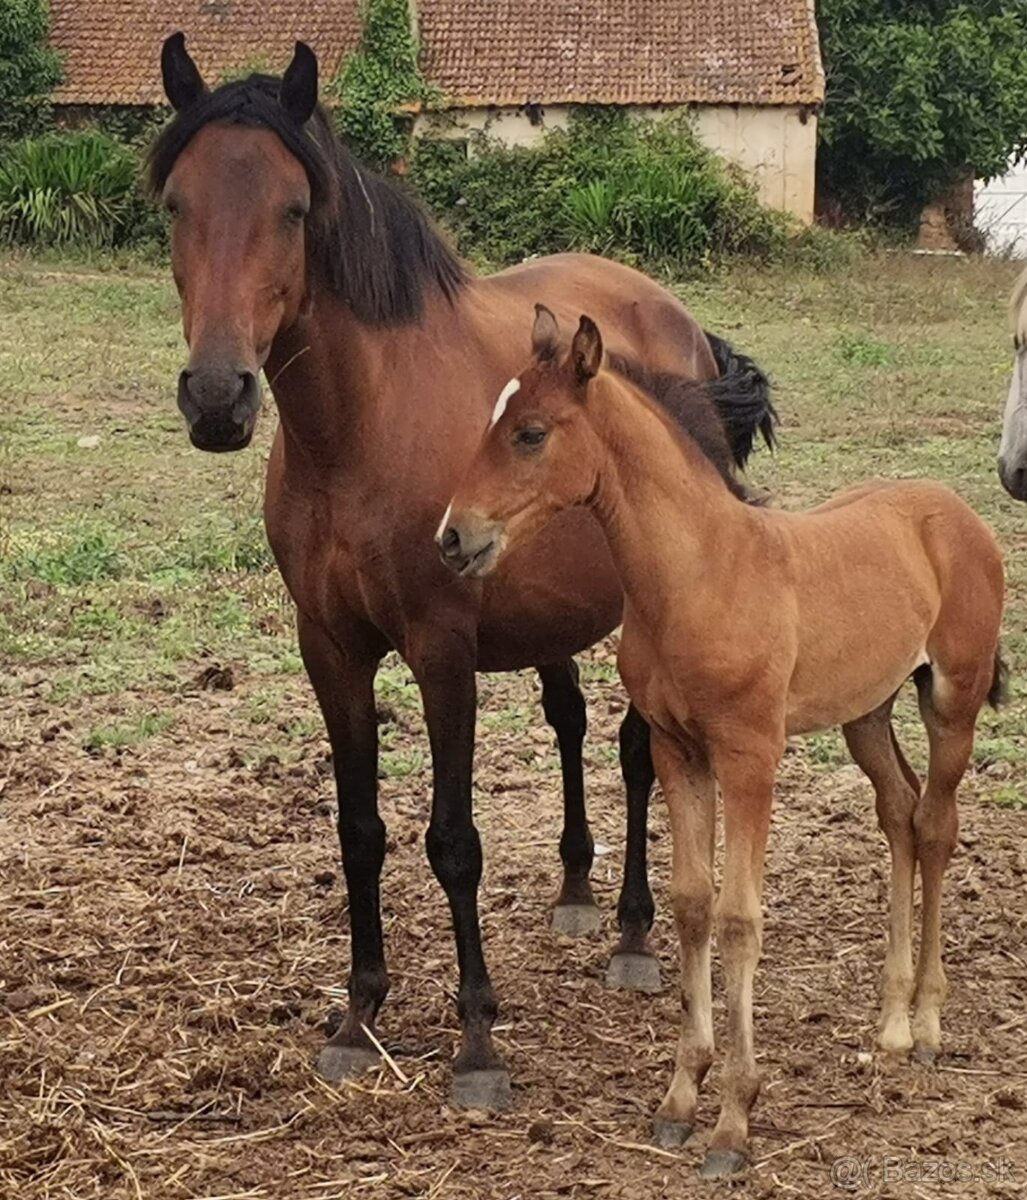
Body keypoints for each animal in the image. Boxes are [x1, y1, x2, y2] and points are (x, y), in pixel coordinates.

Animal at [150, 35, 767, 1104]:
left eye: (294, 210)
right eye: (180, 202)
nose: (218, 395)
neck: (359, 428)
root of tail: (674, 320)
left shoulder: (441, 650)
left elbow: (453, 841)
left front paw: (477, 1038)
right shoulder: (331, 648)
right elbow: (359, 829)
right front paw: (358, 1017)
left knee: (637, 752)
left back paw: (632, 935)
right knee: (570, 722)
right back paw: (575, 888)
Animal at [436, 304, 1007, 1176]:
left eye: (530, 432)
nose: (451, 538)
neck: (698, 573)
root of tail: (951, 509)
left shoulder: (749, 758)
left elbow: (740, 916)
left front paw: (735, 1120)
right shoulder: (678, 752)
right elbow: (691, 904)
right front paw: (681, 1098)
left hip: (953, 699)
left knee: (937, 824)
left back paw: (928, 1026)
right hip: (865, 712)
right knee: (900, 815)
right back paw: (888, 1024)